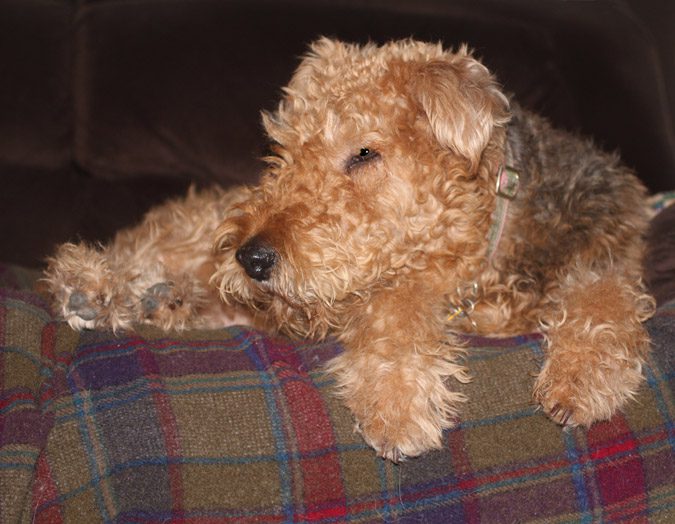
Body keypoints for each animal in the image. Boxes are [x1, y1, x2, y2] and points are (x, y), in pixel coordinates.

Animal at [43, 39, 656, 460]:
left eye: (364, 152)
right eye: (283, 148)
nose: (252, 259)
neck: (483, 257)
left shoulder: (605, 258)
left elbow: (604, 296)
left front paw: (581, 382)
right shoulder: (392, 289)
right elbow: (392, 311)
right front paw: (397, 406)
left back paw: (160, 299)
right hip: (199, 232)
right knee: (146, 249)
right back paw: (93, 285)